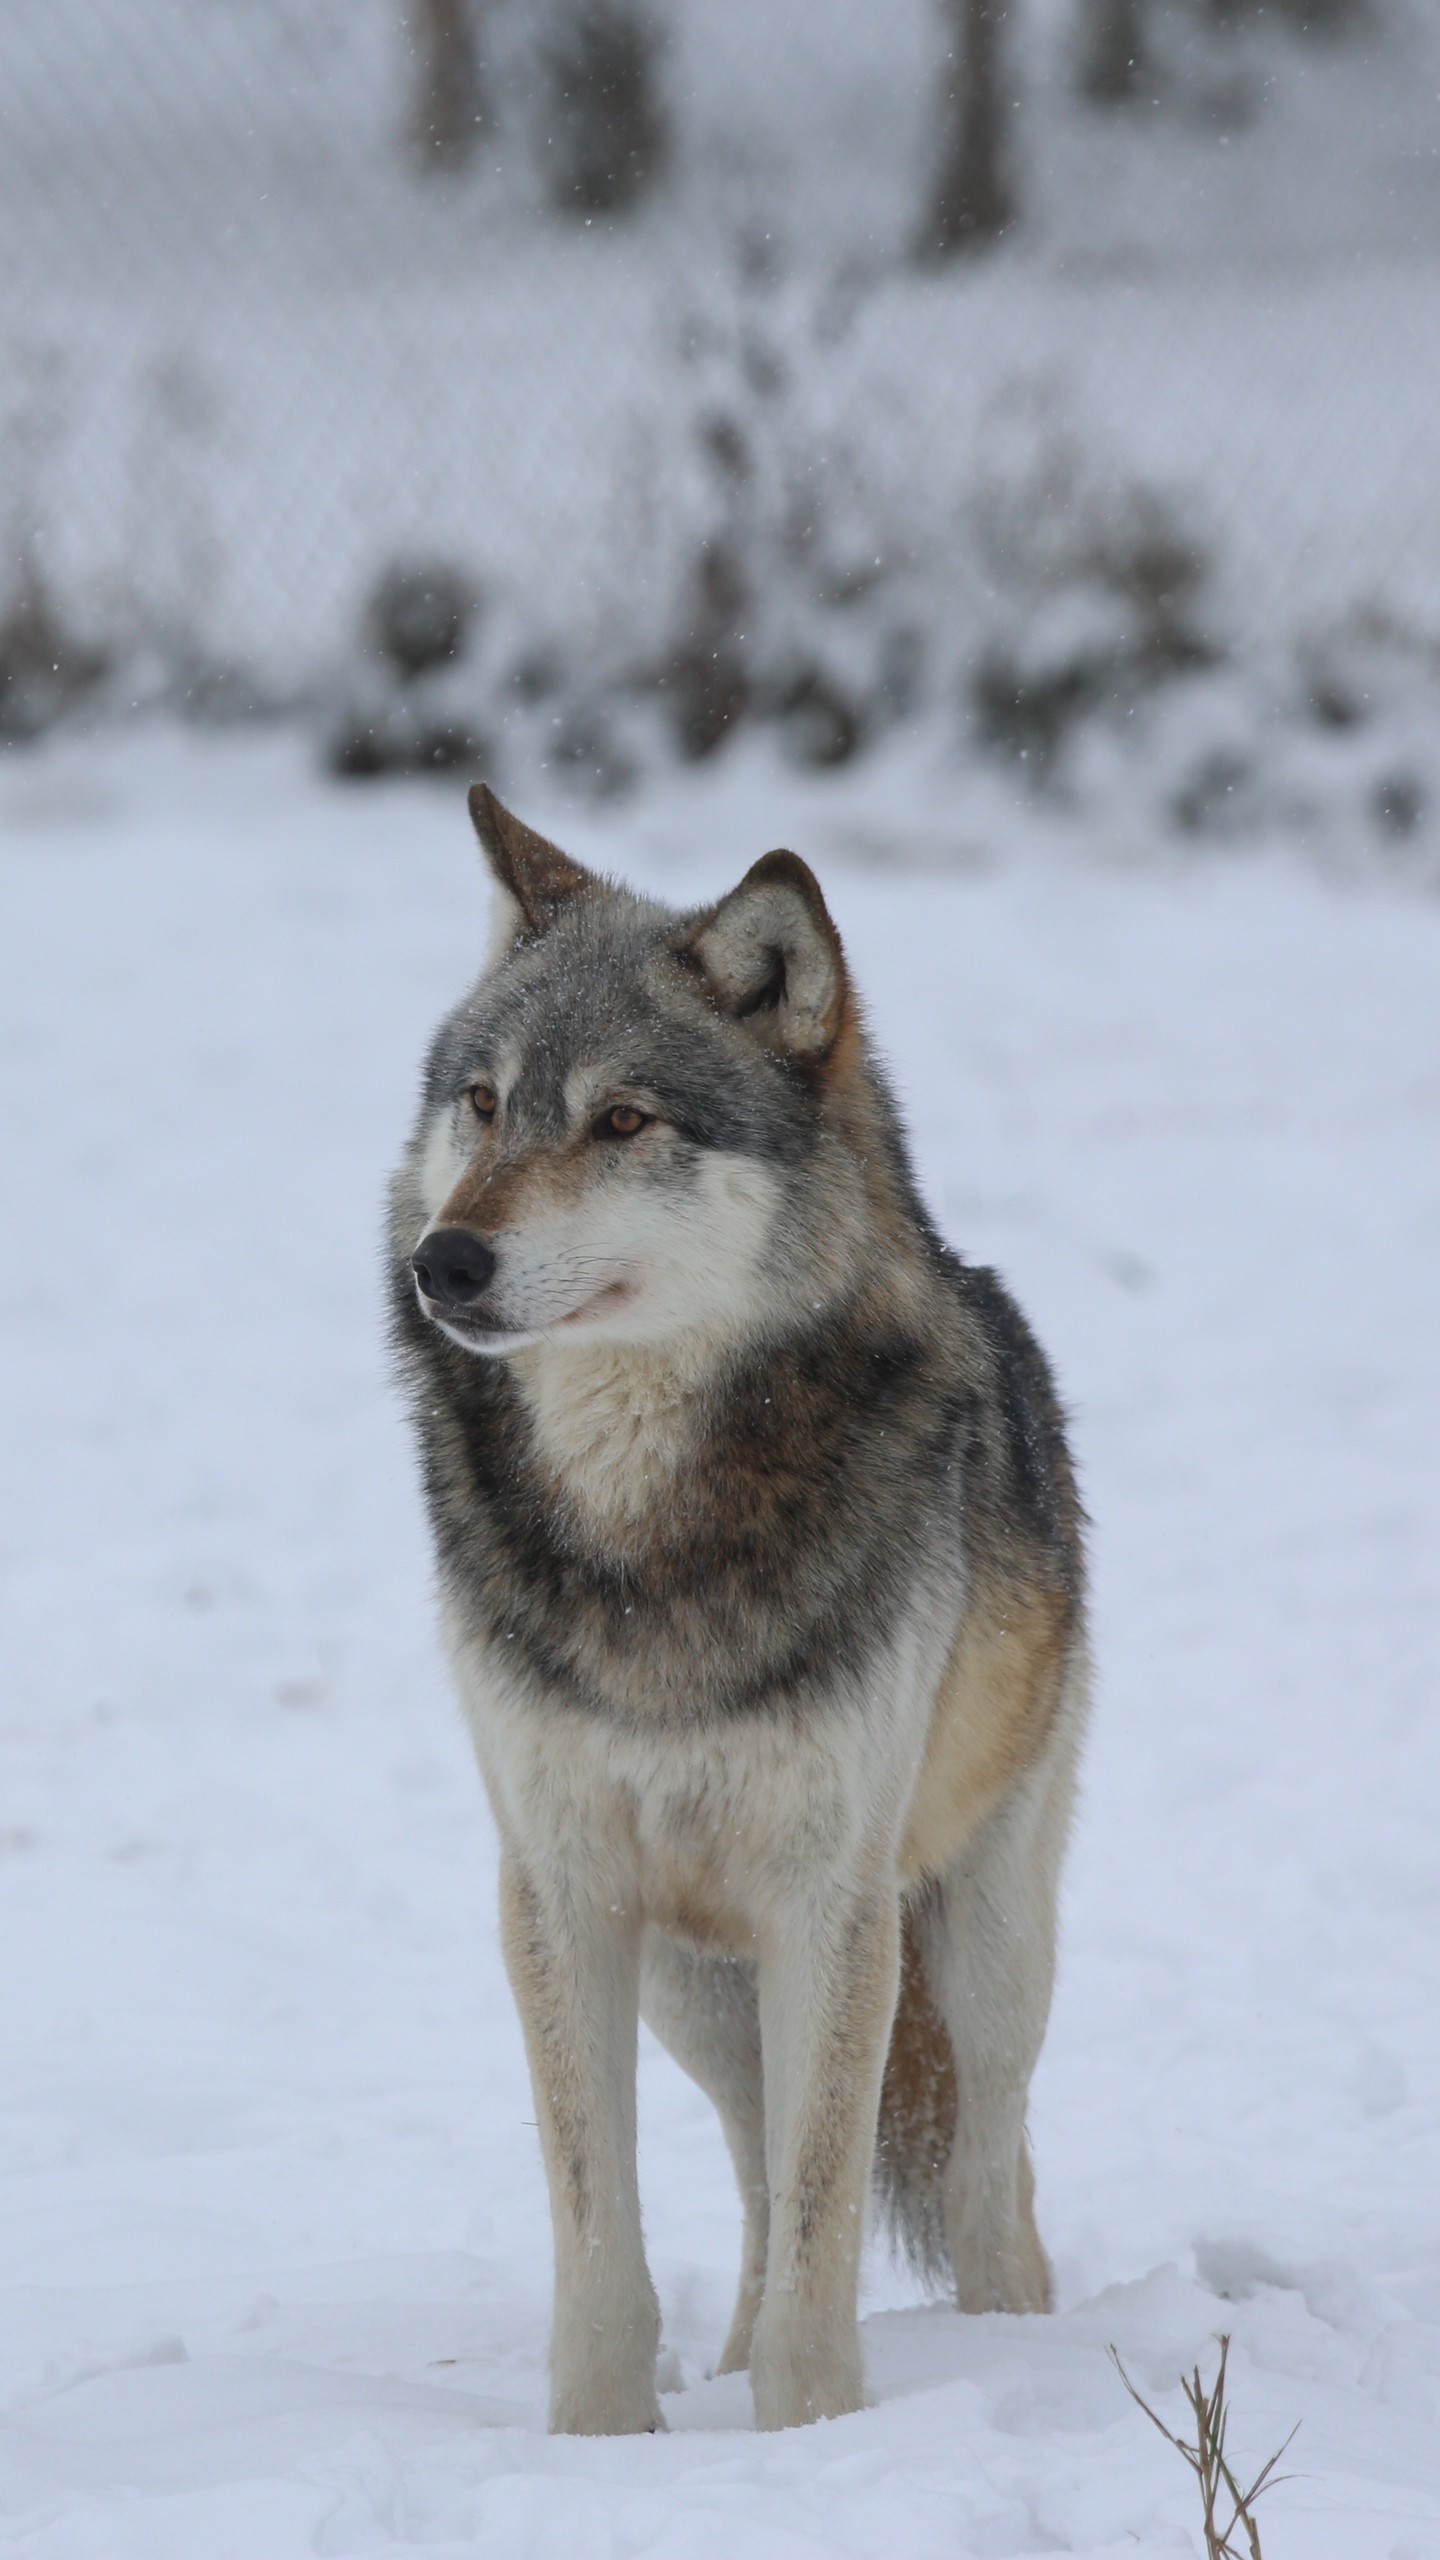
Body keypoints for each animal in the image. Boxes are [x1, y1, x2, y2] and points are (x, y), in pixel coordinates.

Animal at [386, 783, 1081, 2437]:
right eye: (485, 1105)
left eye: (625, 1121)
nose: (445, 1260)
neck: (647, 1529)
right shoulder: (560, 1889)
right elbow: (605, 2234)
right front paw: (600, 2443)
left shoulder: (830, 1897)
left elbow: (835, 2226)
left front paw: (813, 2438)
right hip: (695, 1990)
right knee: (762, 2188)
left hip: (983, 1946)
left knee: (989, 2184)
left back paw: (1012, 2346)